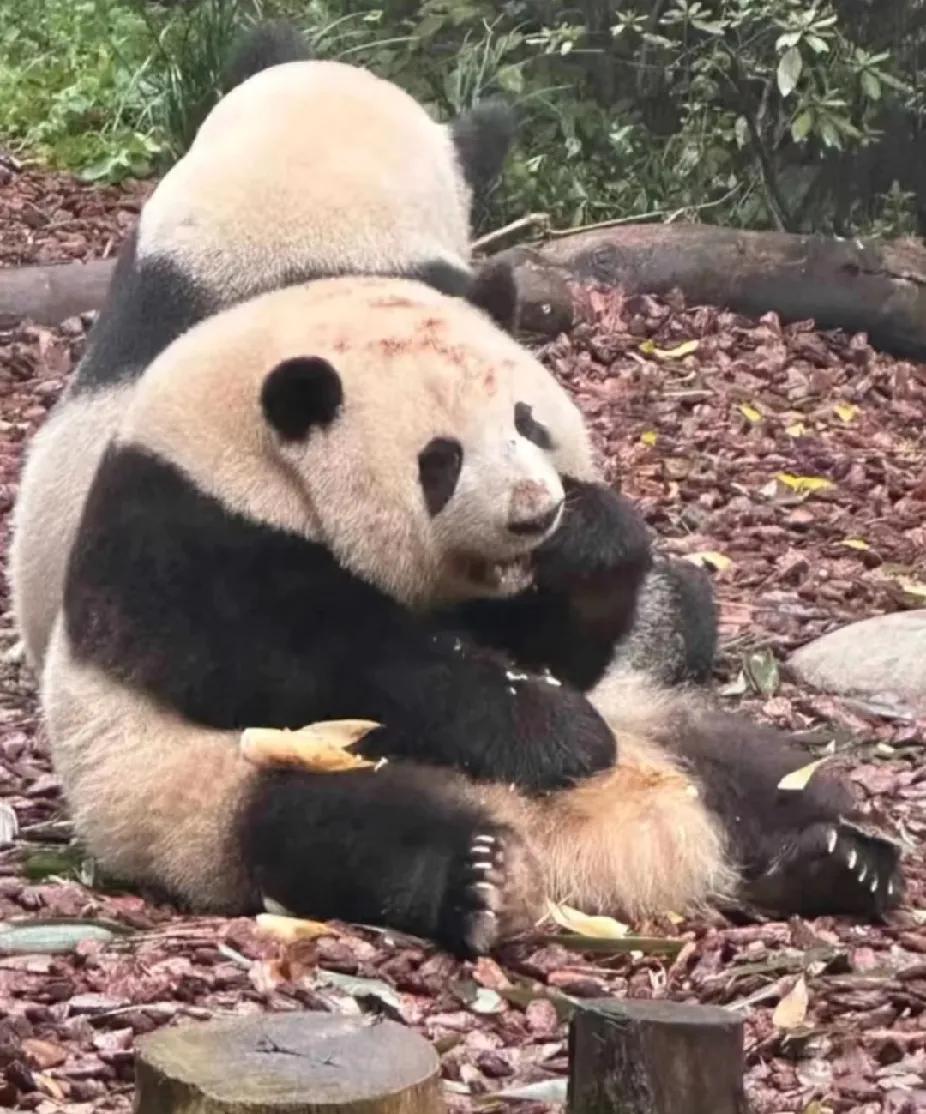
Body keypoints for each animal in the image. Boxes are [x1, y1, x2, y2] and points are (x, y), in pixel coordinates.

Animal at [43, 276, 904, 958]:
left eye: (528, 422)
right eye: (441, 460)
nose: (536, 513)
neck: (240, 454)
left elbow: (557, 651)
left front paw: (591, 541)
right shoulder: (179, 534)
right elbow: (311, 659)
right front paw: (557, 735)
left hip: (664, 723)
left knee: (764, 772)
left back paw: (838, 861)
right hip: (216, 788)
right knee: (334, 827)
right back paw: (480, 882)